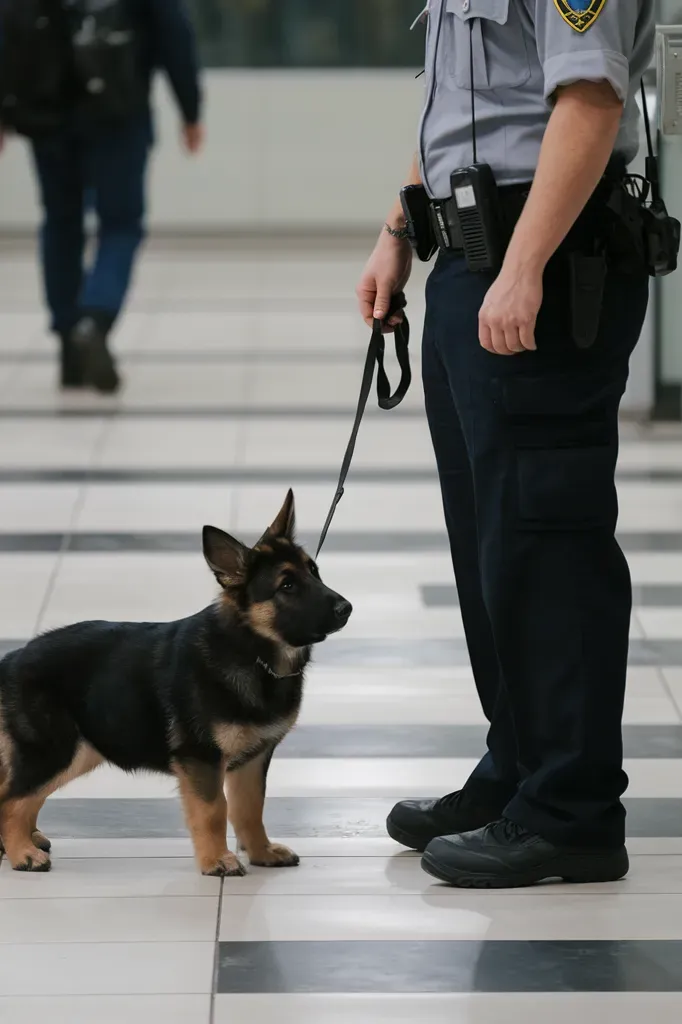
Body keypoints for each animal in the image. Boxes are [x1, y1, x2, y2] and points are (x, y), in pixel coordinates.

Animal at [0, 491, 350, 876]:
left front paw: (261, 851)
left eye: (314, 572)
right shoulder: (201, 759)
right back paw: (22, 852)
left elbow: (250, 809)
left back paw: (24, 841)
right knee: (11, 799)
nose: (346, 608)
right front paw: (217, 860)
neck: (251, 651)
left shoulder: (253, 760)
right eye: (287, 585)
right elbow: (215, 810)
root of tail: (12, 657)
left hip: (77, 753)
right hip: (56, 751)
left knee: (20, 793)